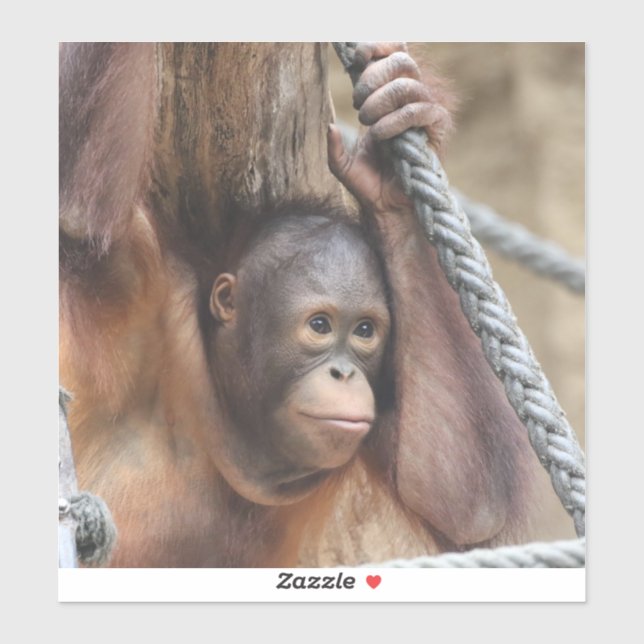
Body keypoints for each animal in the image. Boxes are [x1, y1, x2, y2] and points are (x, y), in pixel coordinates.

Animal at [59, 42, 539, 567]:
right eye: (320, 326)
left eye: (365, 332)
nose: (343, 373)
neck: (231, 409)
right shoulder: (140, 283)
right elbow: (78, 217)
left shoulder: (380, 417)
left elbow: (464, 500)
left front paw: (394, 144)